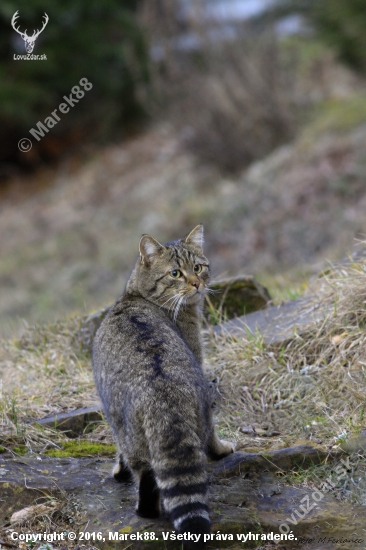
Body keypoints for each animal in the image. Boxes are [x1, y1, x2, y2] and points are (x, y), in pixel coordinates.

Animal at [93, 226, 233, 548]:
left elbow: (120, 454)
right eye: (175, 273)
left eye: (198, 267)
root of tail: (164, 394)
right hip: (196, 411)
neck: (134, 295)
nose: (196, 283)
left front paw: (118, 472)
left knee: (145, 472)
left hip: (129, 429)